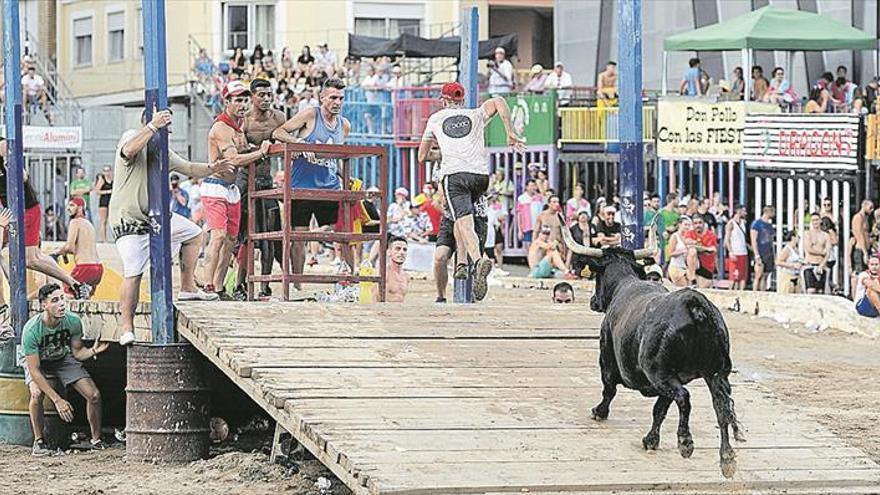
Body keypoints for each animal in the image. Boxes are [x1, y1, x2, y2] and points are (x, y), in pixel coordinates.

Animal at [564, 220, 744, 476]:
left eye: (596, 278)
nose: (592, 302)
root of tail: (695, 304)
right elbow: (660, 409)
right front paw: (651, 440)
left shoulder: (607, 359)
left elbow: (609, 389)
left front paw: (600, 412)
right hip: (715, 373)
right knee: (722, 408)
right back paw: (727, 456)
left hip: (662, 373)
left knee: (685, 397)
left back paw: (685, 442)